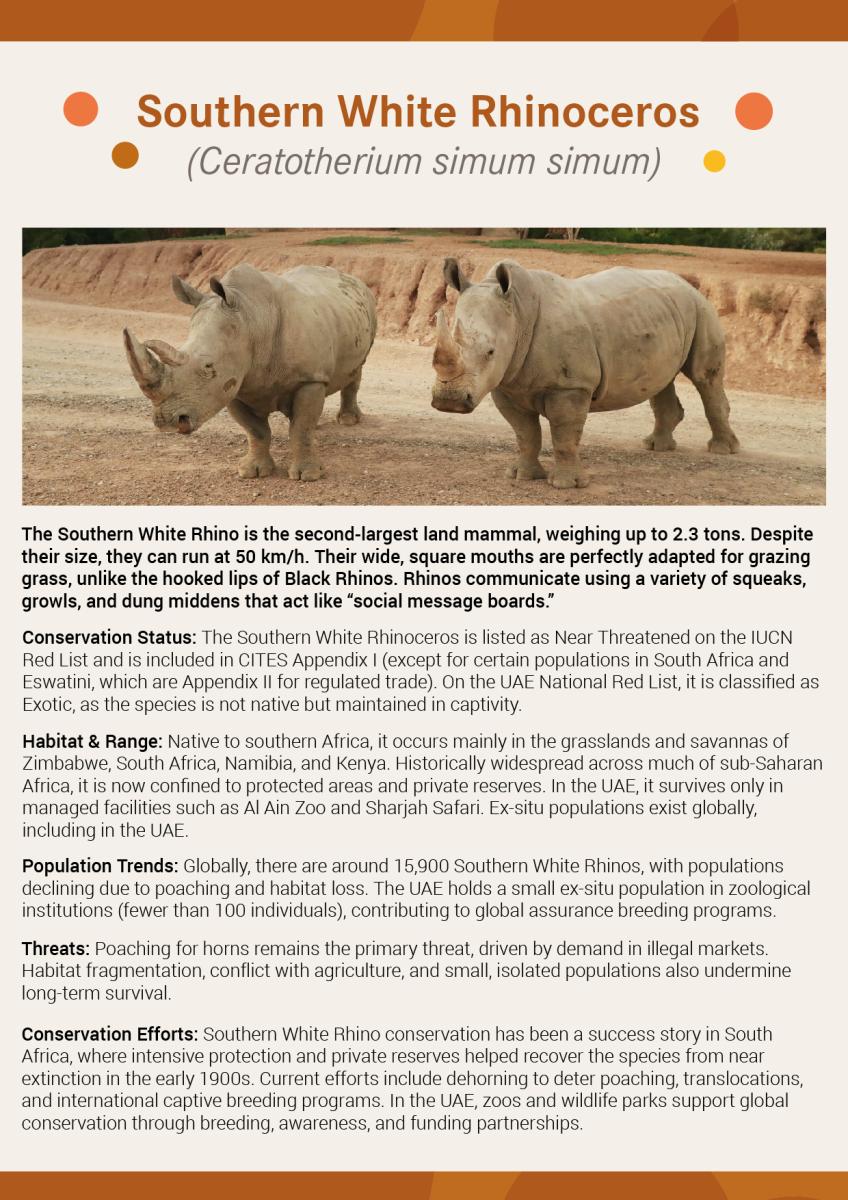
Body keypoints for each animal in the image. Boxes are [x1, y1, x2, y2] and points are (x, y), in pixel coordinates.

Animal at [123, 262, 376, 481]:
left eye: (208, 367)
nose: (167, 422)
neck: (251, 319)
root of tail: (350, 277)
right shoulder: (234, 382)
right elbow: (256, 430)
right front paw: (252, 472)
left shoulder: (310, 378)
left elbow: (300, 429)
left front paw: (308, 476)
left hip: (366, 311)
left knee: (358, 368)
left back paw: (348, 420)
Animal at [431, 258, 739, 488]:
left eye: (491, 352)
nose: (448, 401)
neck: (517, 314)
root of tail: (686, 283)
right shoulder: (506, 385)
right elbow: (525, 434)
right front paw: (522, 476)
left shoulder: (570, 385)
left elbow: (564, 435)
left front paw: (565, 485)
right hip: (665, 315)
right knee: (662, 379)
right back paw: (656, 447)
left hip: (701, 308)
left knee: (704, 377)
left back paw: (723, 450)